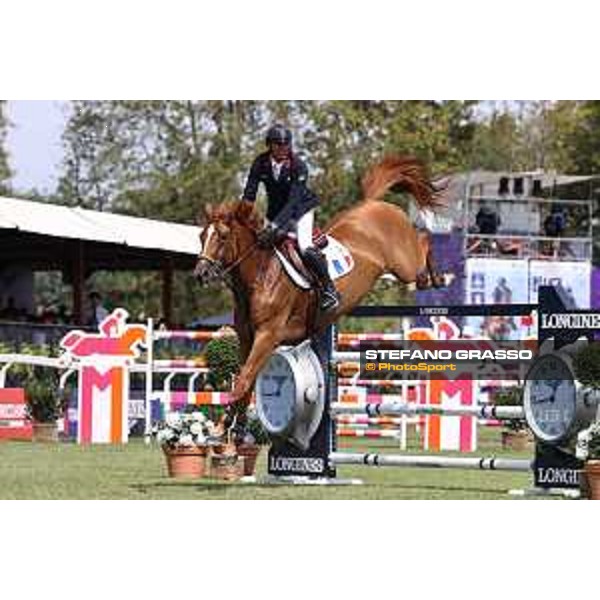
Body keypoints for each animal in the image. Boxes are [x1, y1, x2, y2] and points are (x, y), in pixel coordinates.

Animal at [195, 155, 442, 418]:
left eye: (222, 236)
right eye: (202, 236)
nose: (200, 274)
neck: (260, 276)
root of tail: (374, 204)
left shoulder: (268, 335)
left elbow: (243, 381)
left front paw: (224, 423)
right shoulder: (246, 338)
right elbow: (245, 383)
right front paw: (234, 425)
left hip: (405, 265)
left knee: (424, 242)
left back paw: (437, 278)